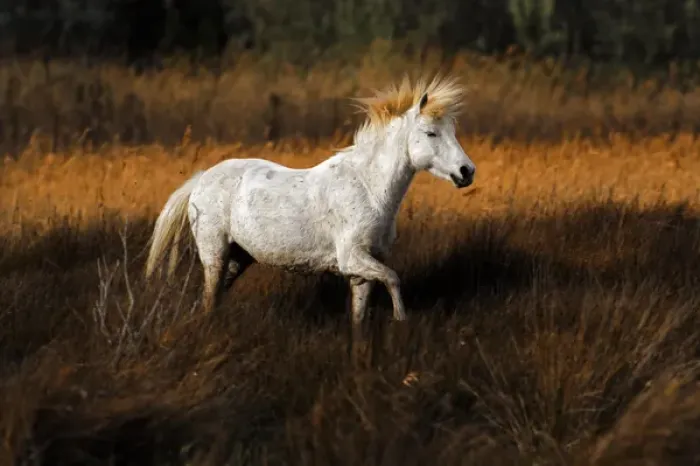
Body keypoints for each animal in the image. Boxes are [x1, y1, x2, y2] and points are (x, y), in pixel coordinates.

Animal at [144, 73, 476, 337]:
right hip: (215, 254)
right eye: (431, 133)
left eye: (452, 132)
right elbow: (394, 279)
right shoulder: (352, 259)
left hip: (238, 258)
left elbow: (360, 319)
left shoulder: (362, 272)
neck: (368, 189)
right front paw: (401, 320)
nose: (467, 172)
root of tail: (201, 180)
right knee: (209, 300)